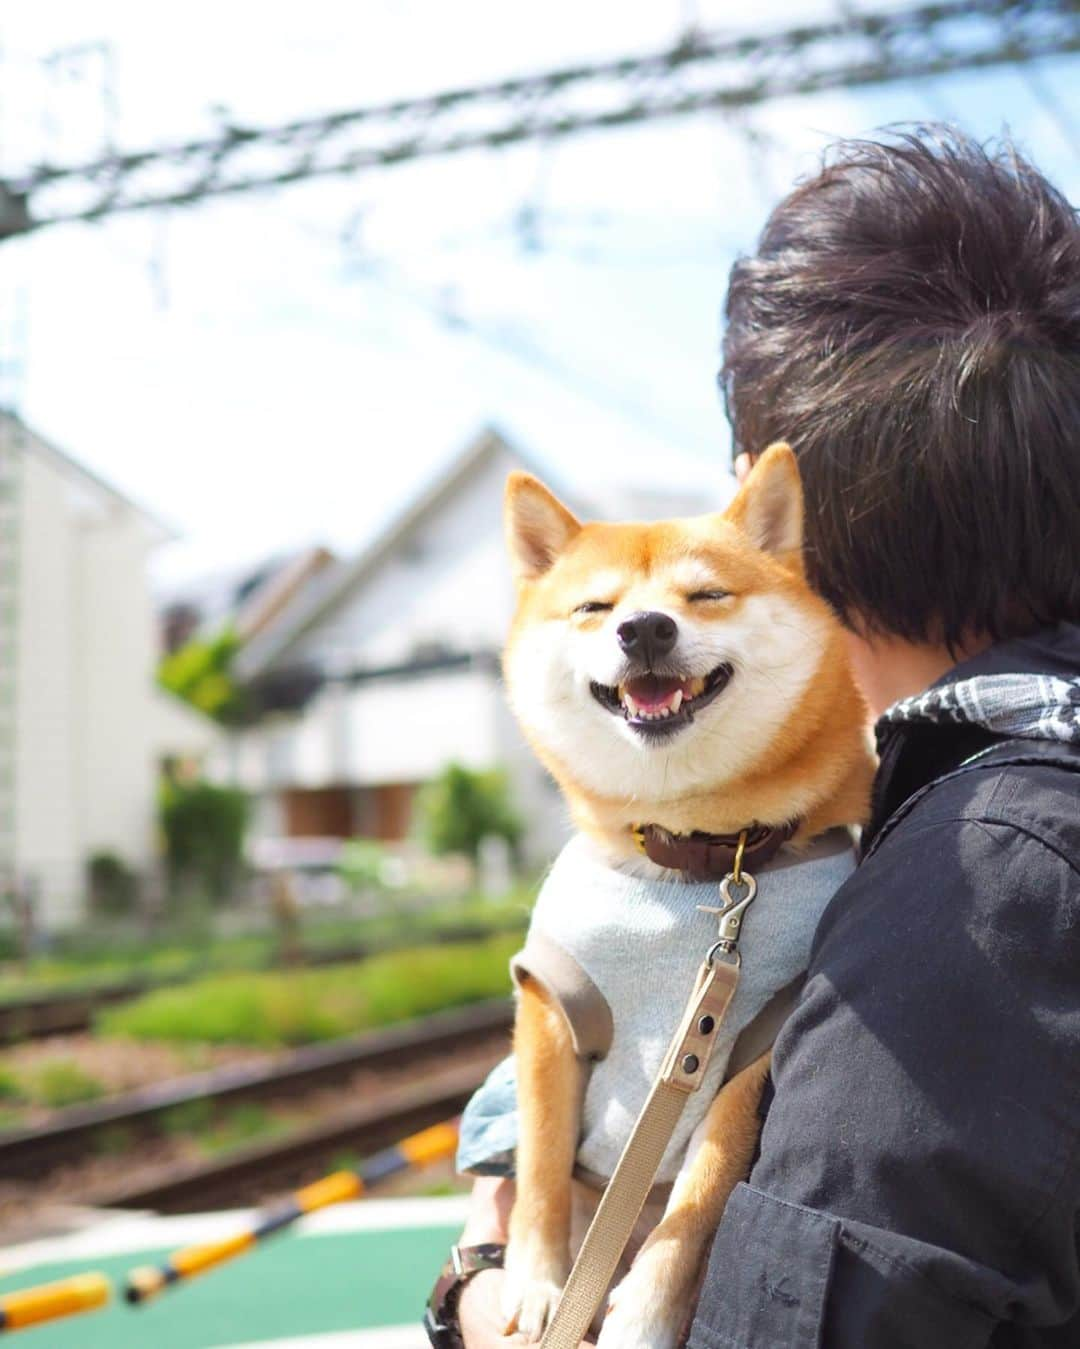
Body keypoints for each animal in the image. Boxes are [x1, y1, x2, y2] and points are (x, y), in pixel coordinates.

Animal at [496, 447, 873, 1343]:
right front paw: (536, 1281)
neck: (696, 855)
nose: (645, 628)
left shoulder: (751, 1041)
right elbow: (539, 1161)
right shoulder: (550, 1005)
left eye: (705, 595)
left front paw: (646, 1313)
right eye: (595, 607)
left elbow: (703, 1195)